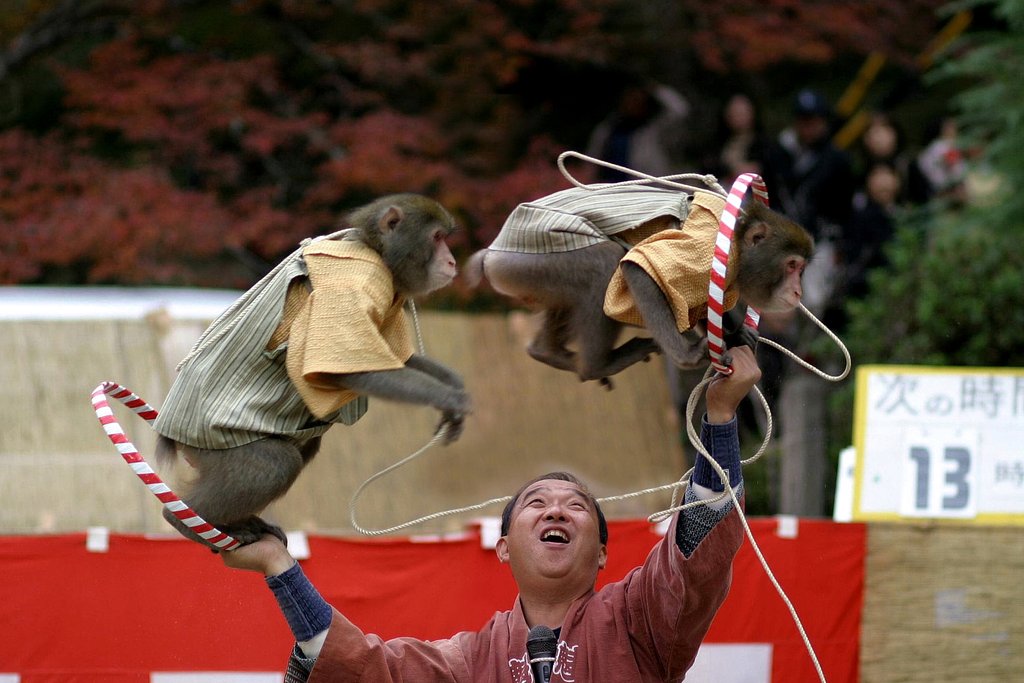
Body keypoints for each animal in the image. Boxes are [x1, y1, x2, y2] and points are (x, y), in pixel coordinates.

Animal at [151, 194, 469, 550]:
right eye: (438, 238)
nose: (452, 262)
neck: (375, 252)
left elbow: (389, 358)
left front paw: (453, 385)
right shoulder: (357, 285)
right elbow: (351, 370)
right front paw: (450, 398)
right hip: (213, 448)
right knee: (275, 463)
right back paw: (183, 520)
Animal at [466, 185, 813, 386]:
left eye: (802, 269)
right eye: (792, 266)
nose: (797, 290)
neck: (736, 245)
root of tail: (491, 253)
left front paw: (733, 332)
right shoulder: (703, 249)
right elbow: (639, 268)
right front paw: (688, 355)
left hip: (527, 278)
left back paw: (545, 352)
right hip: (528, 266)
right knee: (605, 263)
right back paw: (597, 366)